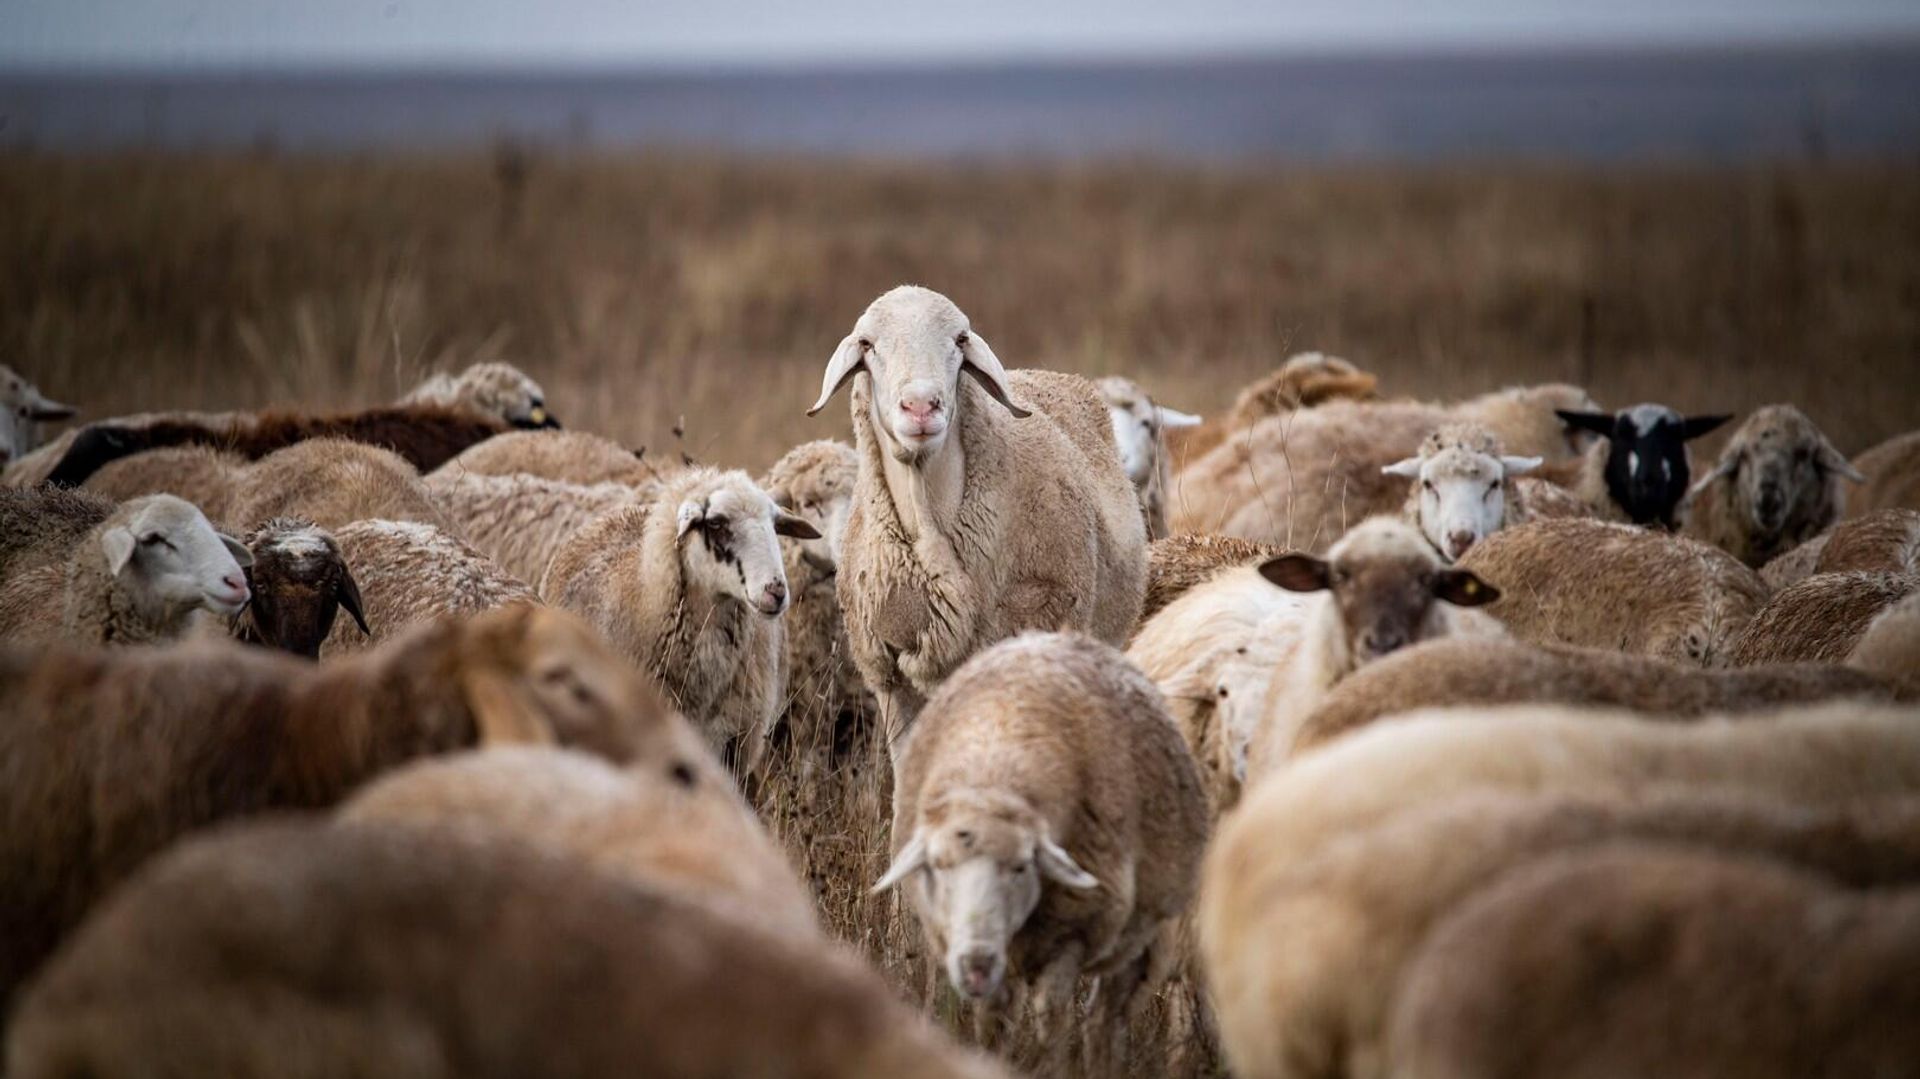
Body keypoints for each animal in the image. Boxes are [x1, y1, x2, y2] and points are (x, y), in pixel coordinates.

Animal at [874, 632, 1207, 1073]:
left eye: (1021, 867)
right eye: (940, 868)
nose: (976, 962)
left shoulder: (1070, 934)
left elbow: (1051, 1017)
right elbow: (992, 1023)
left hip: (1146, 931)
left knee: (1106, 1018)